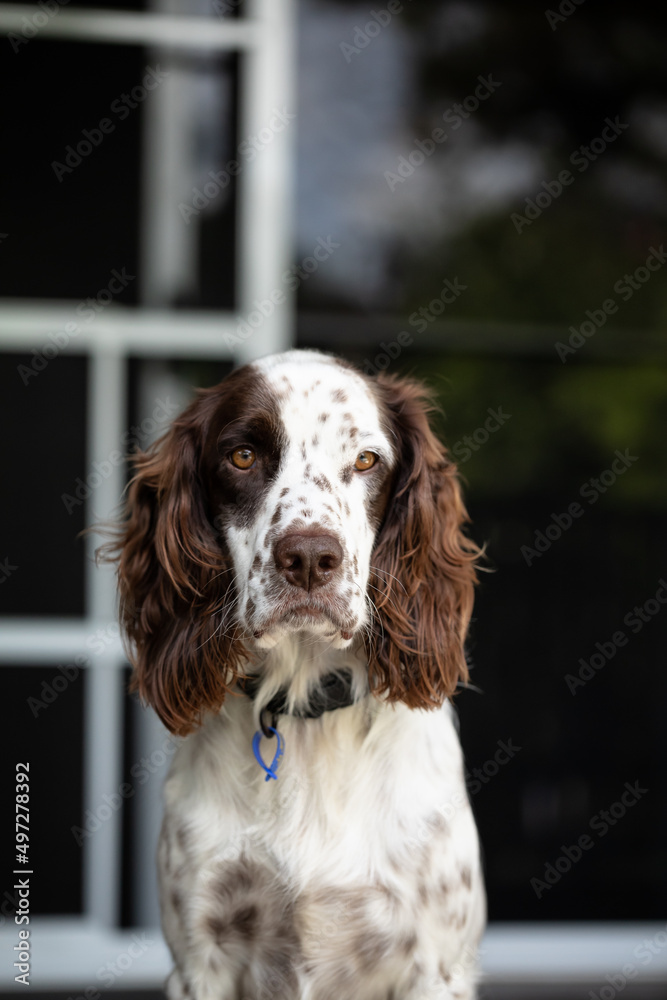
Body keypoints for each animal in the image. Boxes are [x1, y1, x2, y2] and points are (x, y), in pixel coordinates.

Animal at [104, 349, 485, 999]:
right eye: (242, 456)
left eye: (366, 459)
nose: (310, 558)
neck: (307, 720)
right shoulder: (200, 959)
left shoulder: (435, 965)